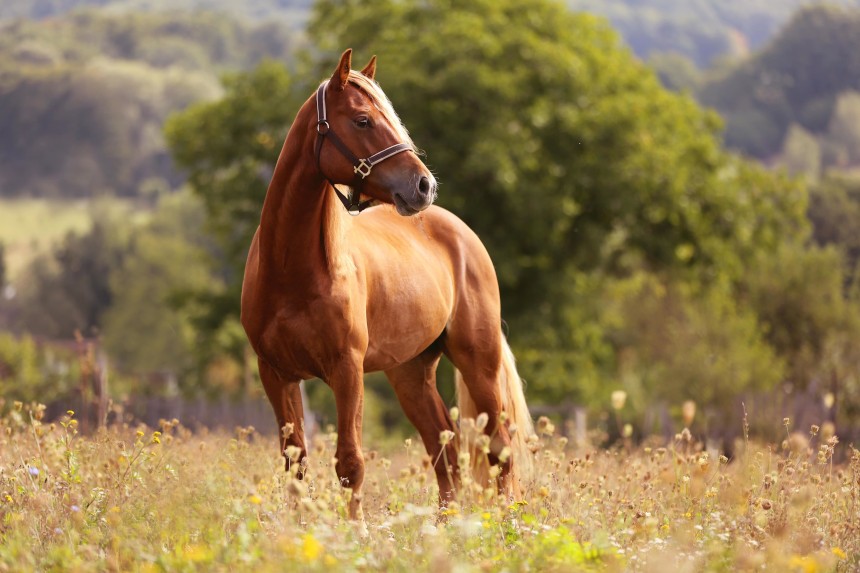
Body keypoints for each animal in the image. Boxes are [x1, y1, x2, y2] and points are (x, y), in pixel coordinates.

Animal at [242, 50, 536, 520]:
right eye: (362, 120)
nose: (424, 185)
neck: (292, 271)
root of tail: (462, 234)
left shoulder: (346, 370)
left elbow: (350, 462)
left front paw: (355, 530)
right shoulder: (276, 373)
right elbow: (295, 464)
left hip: (479, 363)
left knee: (498, 449)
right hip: (411, 373)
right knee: (445, 452)